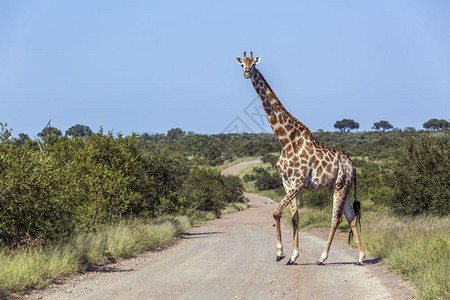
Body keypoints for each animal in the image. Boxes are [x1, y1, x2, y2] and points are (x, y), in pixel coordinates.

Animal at [236, 51, 366, 264]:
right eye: (242, 64)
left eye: (253, 64)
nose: (247, 73)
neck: (285, 139)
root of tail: (353, 167)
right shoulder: (287, 182)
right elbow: (294, 216)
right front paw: (293, 255)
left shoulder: (298, 182)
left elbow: (276, 212)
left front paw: (280, 253)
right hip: (341, 188)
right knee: (351, 217)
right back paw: (361, 257)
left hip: (340, 186)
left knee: (336, 218)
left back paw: (323, 257)